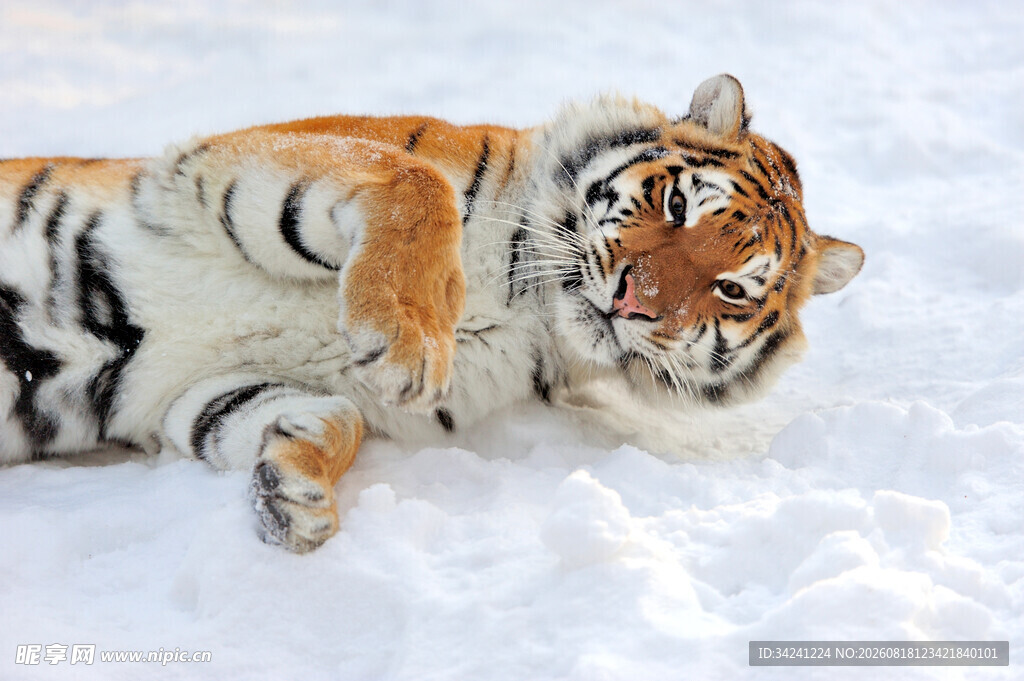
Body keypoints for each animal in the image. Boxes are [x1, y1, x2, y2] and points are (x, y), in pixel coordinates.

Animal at [0, 75, 863, 552]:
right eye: (679, 205)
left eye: (732, 290)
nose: (634, 303)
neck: (530, 306)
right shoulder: (226, 164)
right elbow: (417, 181)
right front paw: (407, 337)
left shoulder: (184, 391)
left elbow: (329, 417)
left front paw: (295, 495)